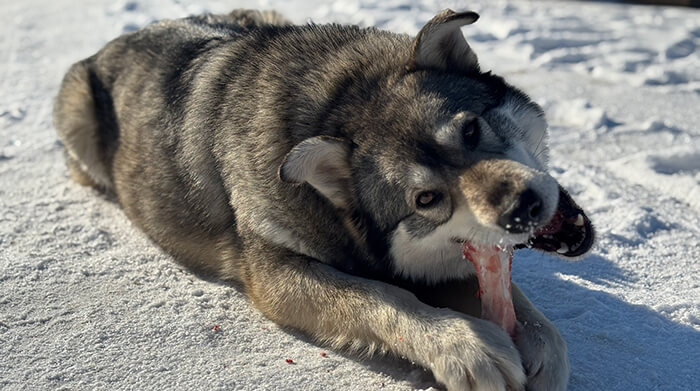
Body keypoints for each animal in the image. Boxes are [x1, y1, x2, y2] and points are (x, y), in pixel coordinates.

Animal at [53, 8, 592, 391]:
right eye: (426, 198)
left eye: (472, 129)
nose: (522, 208)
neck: (341, 101)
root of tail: (119, 40)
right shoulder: (275, 274)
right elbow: (384, 297)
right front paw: (465, 345)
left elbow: (525, 308)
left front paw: (543, 347)